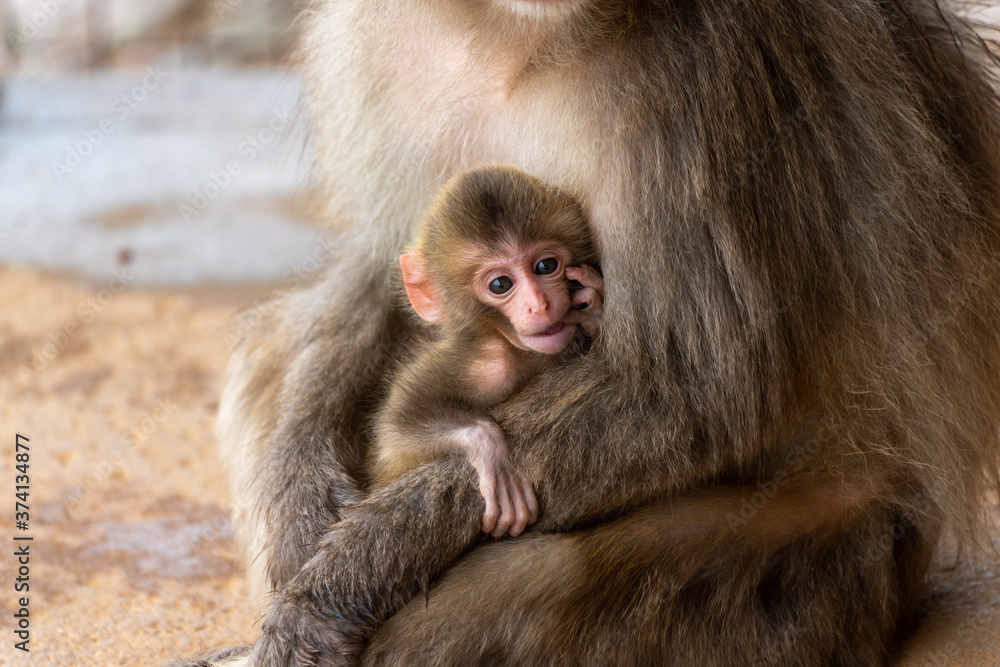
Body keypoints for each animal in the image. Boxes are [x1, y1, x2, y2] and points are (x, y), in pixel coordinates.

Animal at [372, 165, 603, 539]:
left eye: (546, 266)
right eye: (500, 285)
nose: (540, 303)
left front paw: (593, 307)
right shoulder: (483, 366)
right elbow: (396, 436)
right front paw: (489, 447)